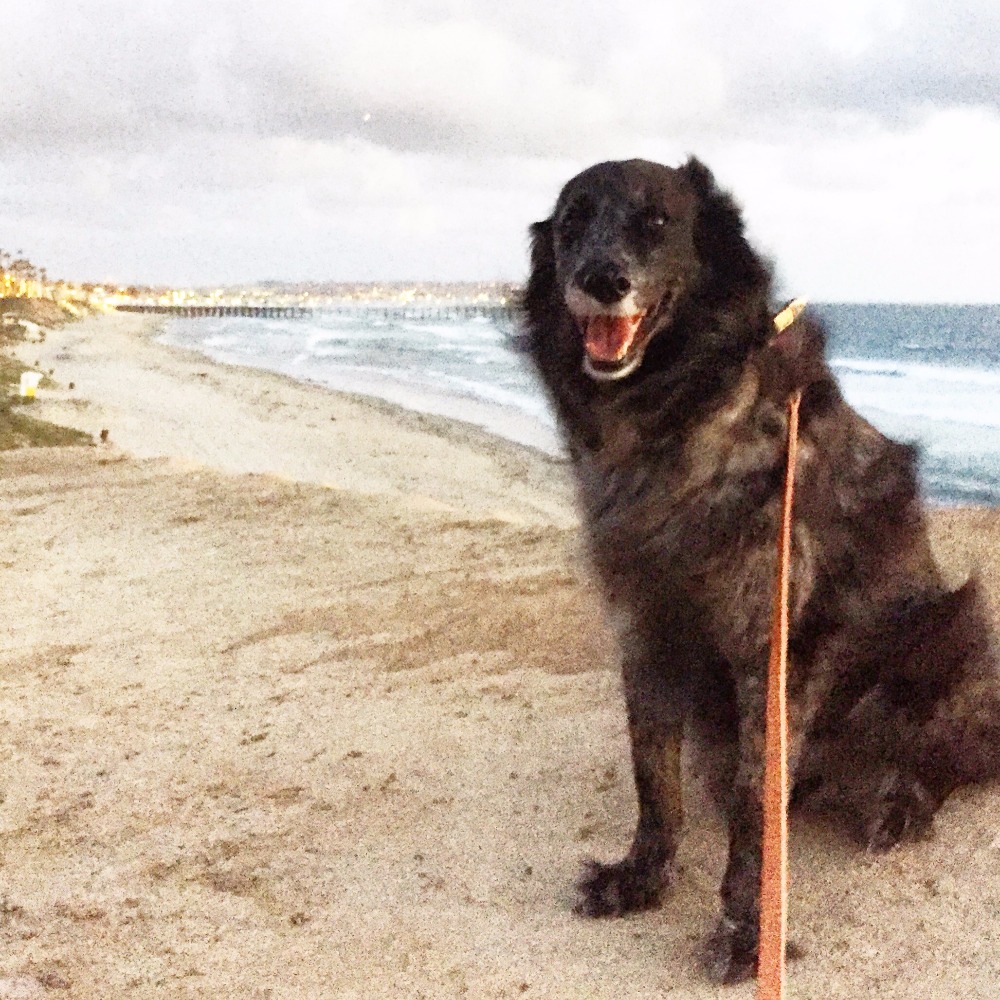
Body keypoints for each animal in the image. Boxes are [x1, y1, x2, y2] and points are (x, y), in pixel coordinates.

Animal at [520, 157, 1000, 983]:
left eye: (657, 222)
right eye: (575, 220)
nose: (601, 279)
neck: (678, 412)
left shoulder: (773, 649)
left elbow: (754, 805)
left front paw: (748, 933)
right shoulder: (645, 629)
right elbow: (653, 778)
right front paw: (639, 879)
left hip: (956, 624)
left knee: (950, 755)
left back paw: (901, 803)